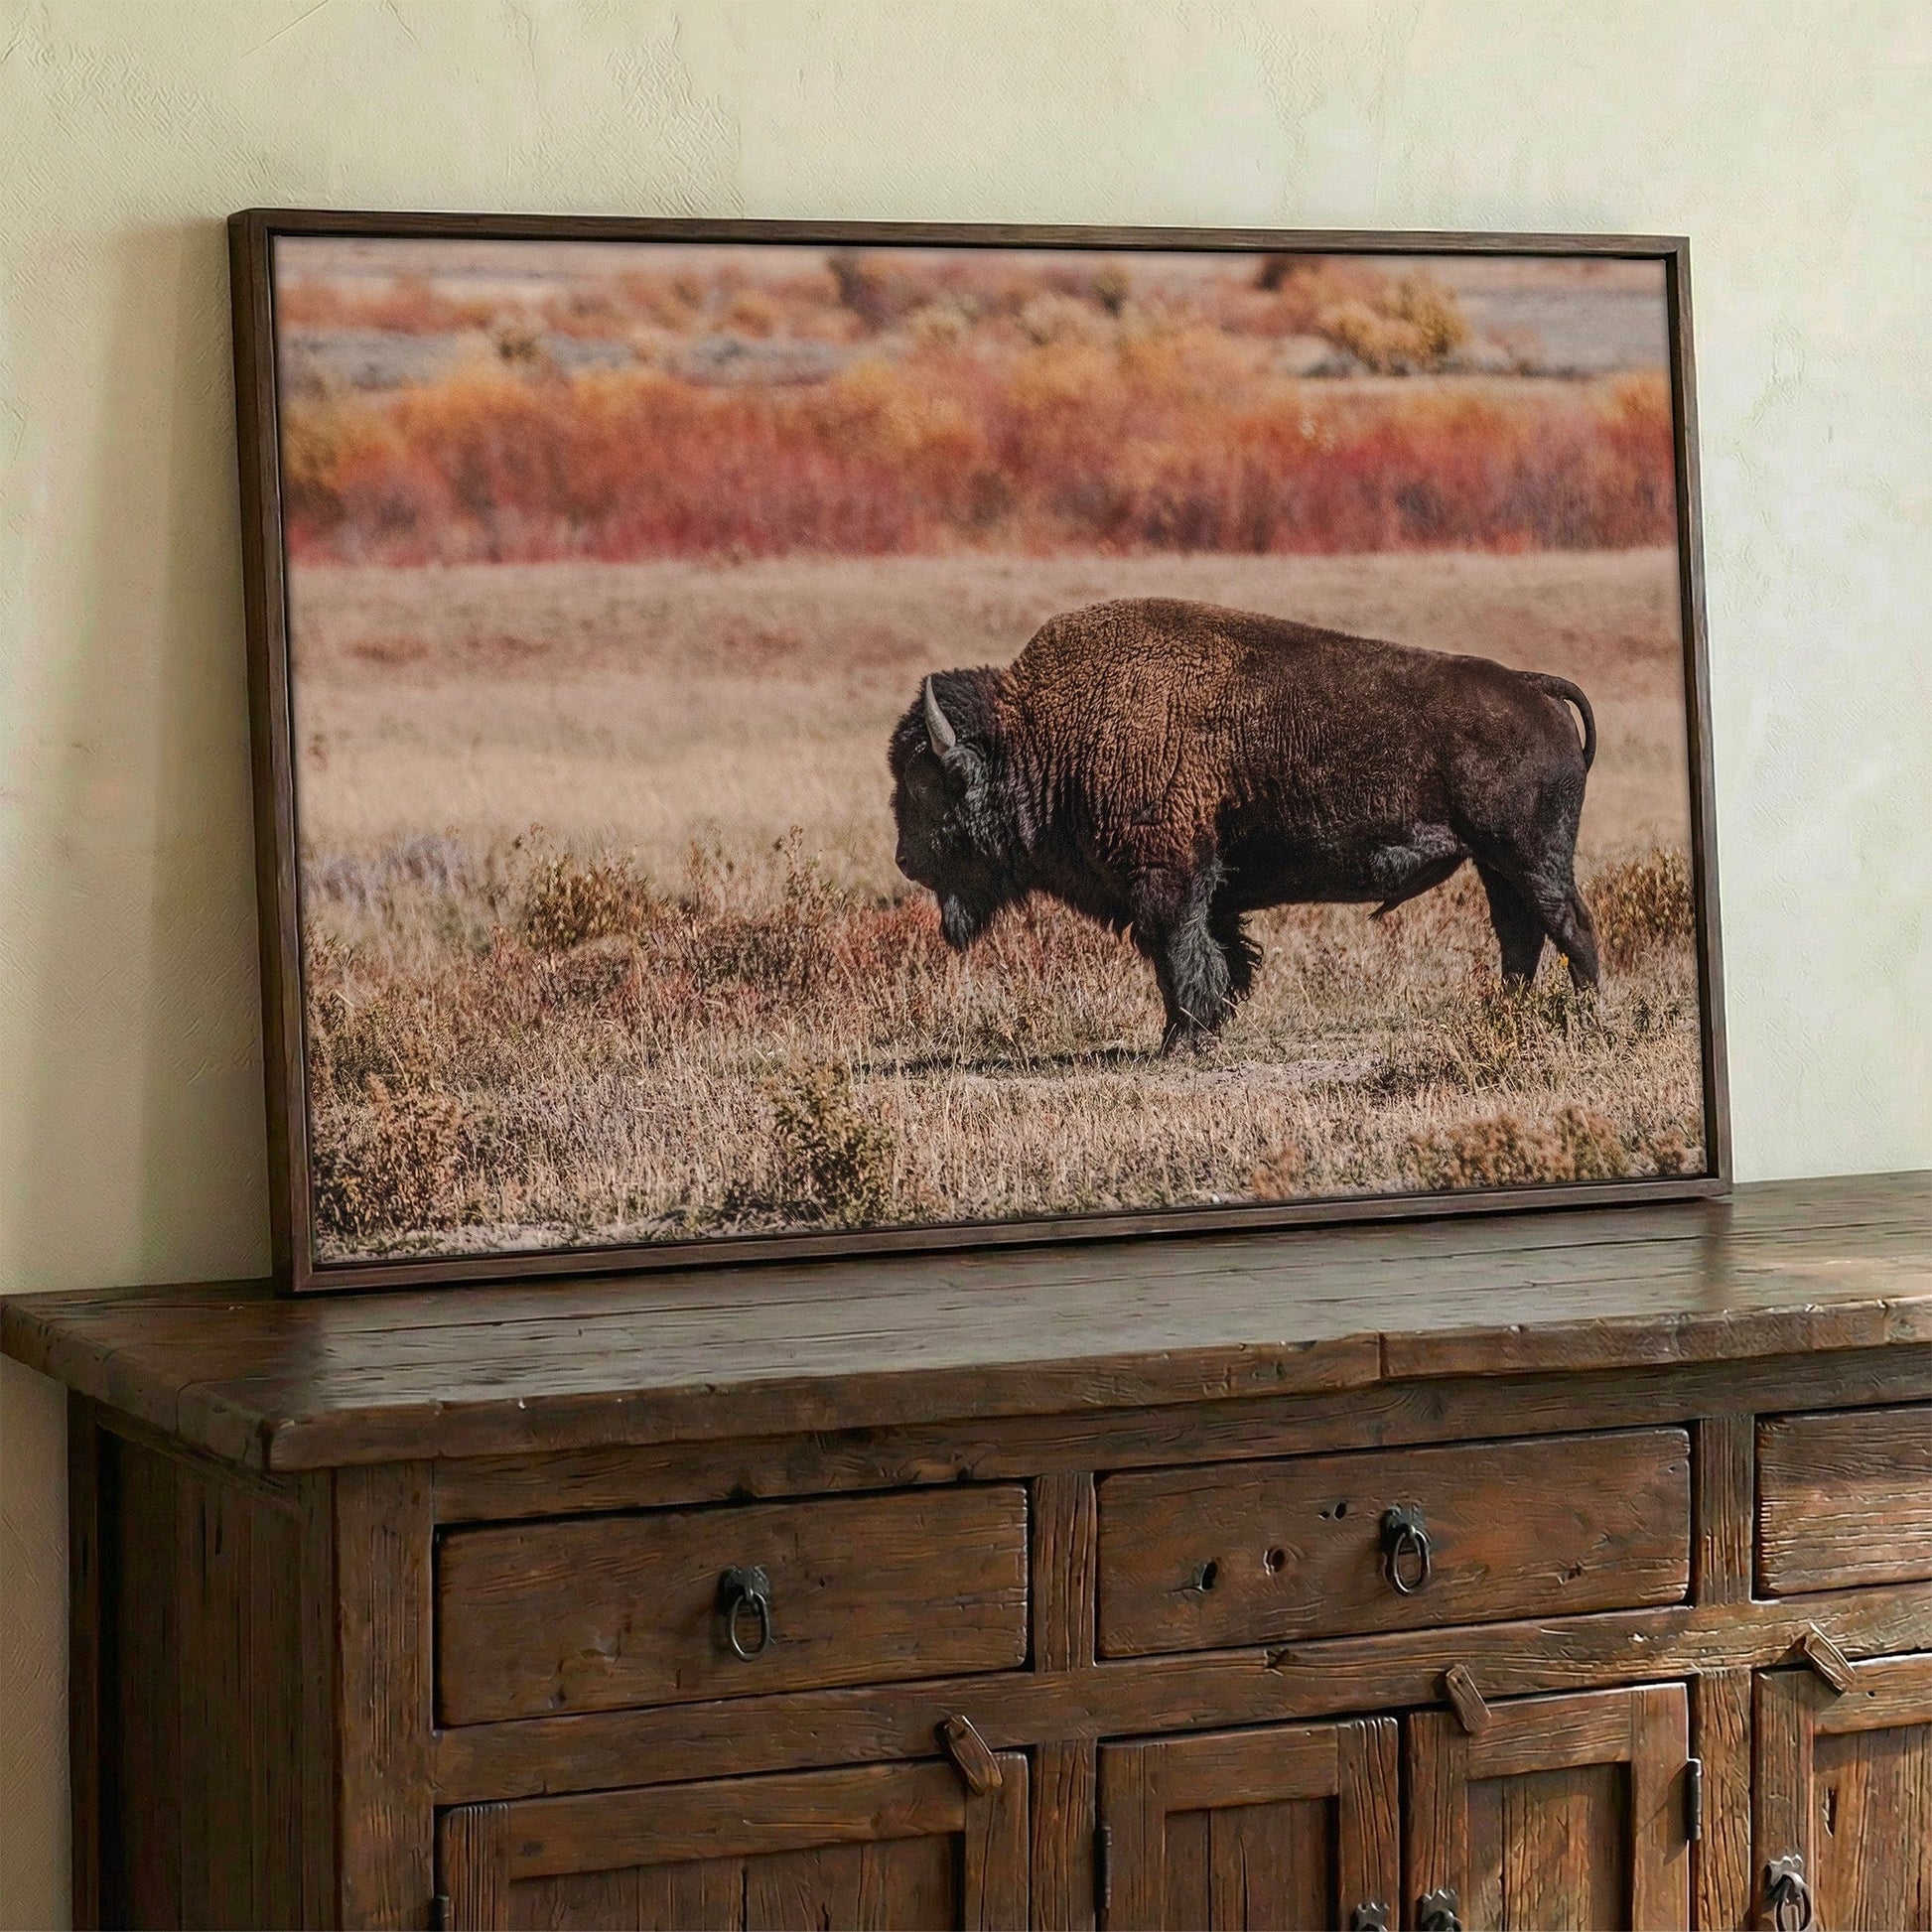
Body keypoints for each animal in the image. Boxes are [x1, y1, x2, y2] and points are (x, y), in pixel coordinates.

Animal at [889, 597, 1600, 1053]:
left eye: (926, 784)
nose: (904, 859)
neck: (1046, 734)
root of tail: (1533, 686)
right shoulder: (1211, 890)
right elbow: (1218, 956)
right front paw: (1199, 1030)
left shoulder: (1167, 879)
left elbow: (1180, 954)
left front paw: (1181, 1041)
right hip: (1496, 863)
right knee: (1520, 937)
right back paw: (1509, 1017)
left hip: (1530, 856)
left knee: (1570, 927)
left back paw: (1588, 1021)